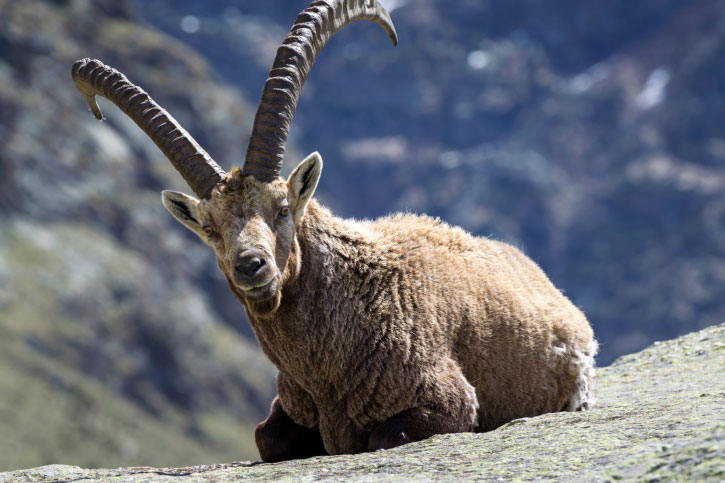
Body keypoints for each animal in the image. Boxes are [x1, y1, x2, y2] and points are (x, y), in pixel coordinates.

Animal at [72, 0, 597, 463]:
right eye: (208, 227)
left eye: (283, 209)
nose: (251, 265)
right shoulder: (289, 405)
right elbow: (267, 438)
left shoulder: (450, 399)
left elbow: (381, 437)